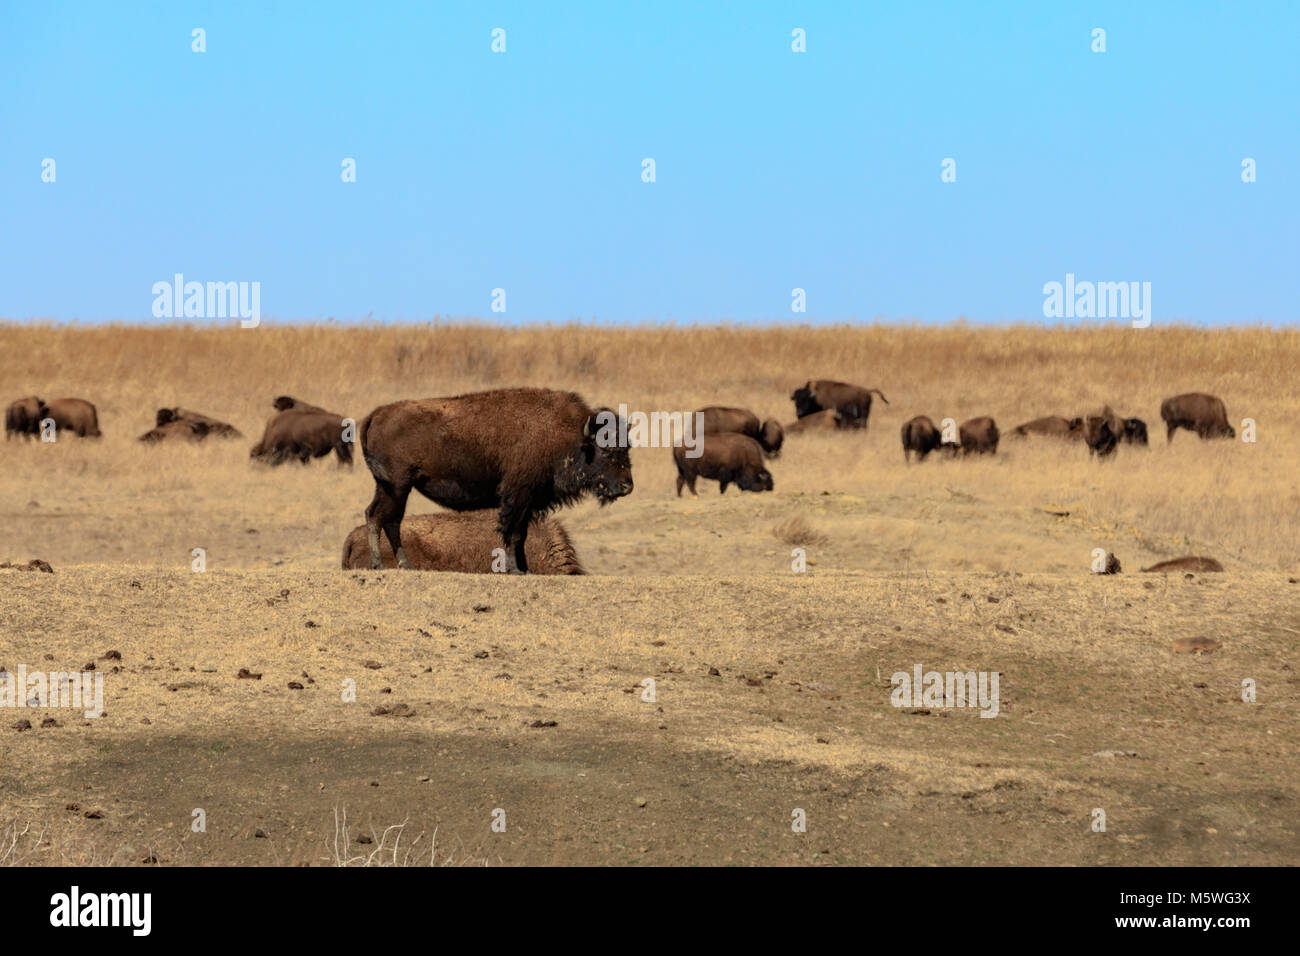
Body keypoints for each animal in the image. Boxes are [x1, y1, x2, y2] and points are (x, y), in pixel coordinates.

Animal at [361, 390, 634, 574]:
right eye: (606, 450)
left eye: (627, 446)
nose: (627, 486)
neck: (568, 433)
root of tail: (378, 413)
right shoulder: (517, 495)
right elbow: (513, 534)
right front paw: (514, 569)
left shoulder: (528, 502)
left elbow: (521, 535)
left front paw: (524, 569)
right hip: (397, 486)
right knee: (379, 516)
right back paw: (379, 564)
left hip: (392, 488)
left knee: (387, 518)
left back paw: (403, 565)